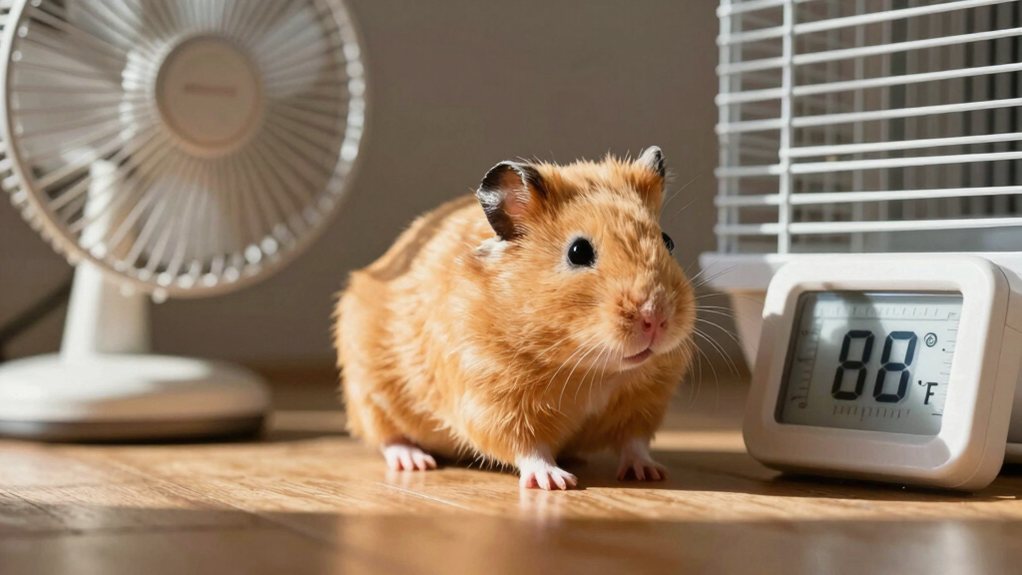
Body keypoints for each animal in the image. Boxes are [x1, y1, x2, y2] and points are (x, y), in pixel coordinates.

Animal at [335, 146, 695, 490]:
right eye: (578, 252)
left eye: (668, 241)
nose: (655, 318)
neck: (590, 369)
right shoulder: (493, 398)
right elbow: (527, 446)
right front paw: (556, 482)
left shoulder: (645, 400)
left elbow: (635, 442)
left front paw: (651, 473)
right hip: (369, 395)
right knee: (386, 437)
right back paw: (415, 461)